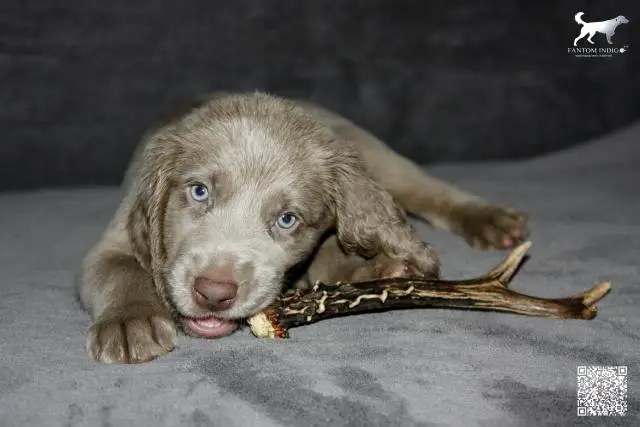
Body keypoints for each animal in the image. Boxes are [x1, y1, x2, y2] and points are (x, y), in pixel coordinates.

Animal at [77, 91, 528, 364]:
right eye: (200, 192)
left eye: (287, 219)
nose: (214, 293)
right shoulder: (116, 237)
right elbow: (120, 270)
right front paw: (130, 322)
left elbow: (332, 245)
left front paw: (373, 270)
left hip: (375, 158)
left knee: (427, 190)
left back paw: (492, 219)